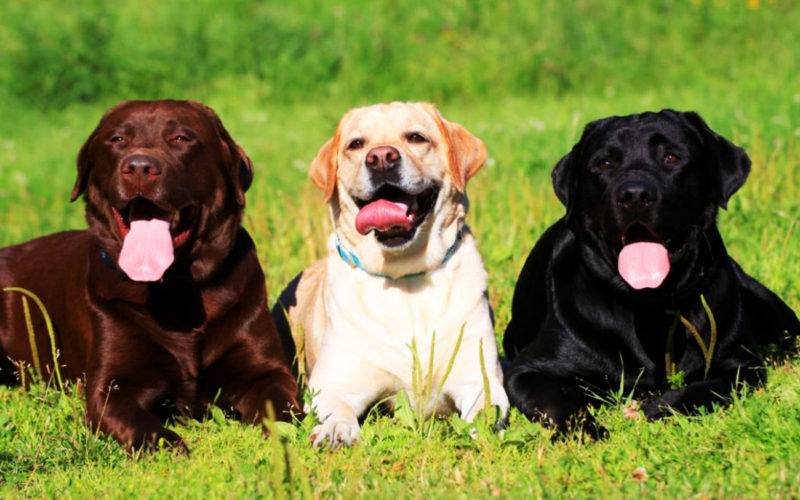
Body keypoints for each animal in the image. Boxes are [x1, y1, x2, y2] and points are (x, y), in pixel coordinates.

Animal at [0, 99, 298, 452]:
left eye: (181, 138)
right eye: (117, 140)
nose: (140, 167)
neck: (176, 290)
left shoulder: (267, 371)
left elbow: (281, 407)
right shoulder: (111, 386)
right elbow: (138, 422)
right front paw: (169, 446)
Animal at [272, 100, 510, 446]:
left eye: (416, 137)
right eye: (356, 144)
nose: (381, 157)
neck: (404, 276)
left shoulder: (477, 377)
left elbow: (485, 408)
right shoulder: (331, 384)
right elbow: (336, 408)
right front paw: (336, 430)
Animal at [506, 109, 800, 434]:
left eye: (671, 157)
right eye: (604, 163)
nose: (634, 195)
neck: (651, 306)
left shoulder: (743, 366)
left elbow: (702, 388)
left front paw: (659, 407)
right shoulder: (527, 371)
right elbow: (562, 400)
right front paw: (588, 431)